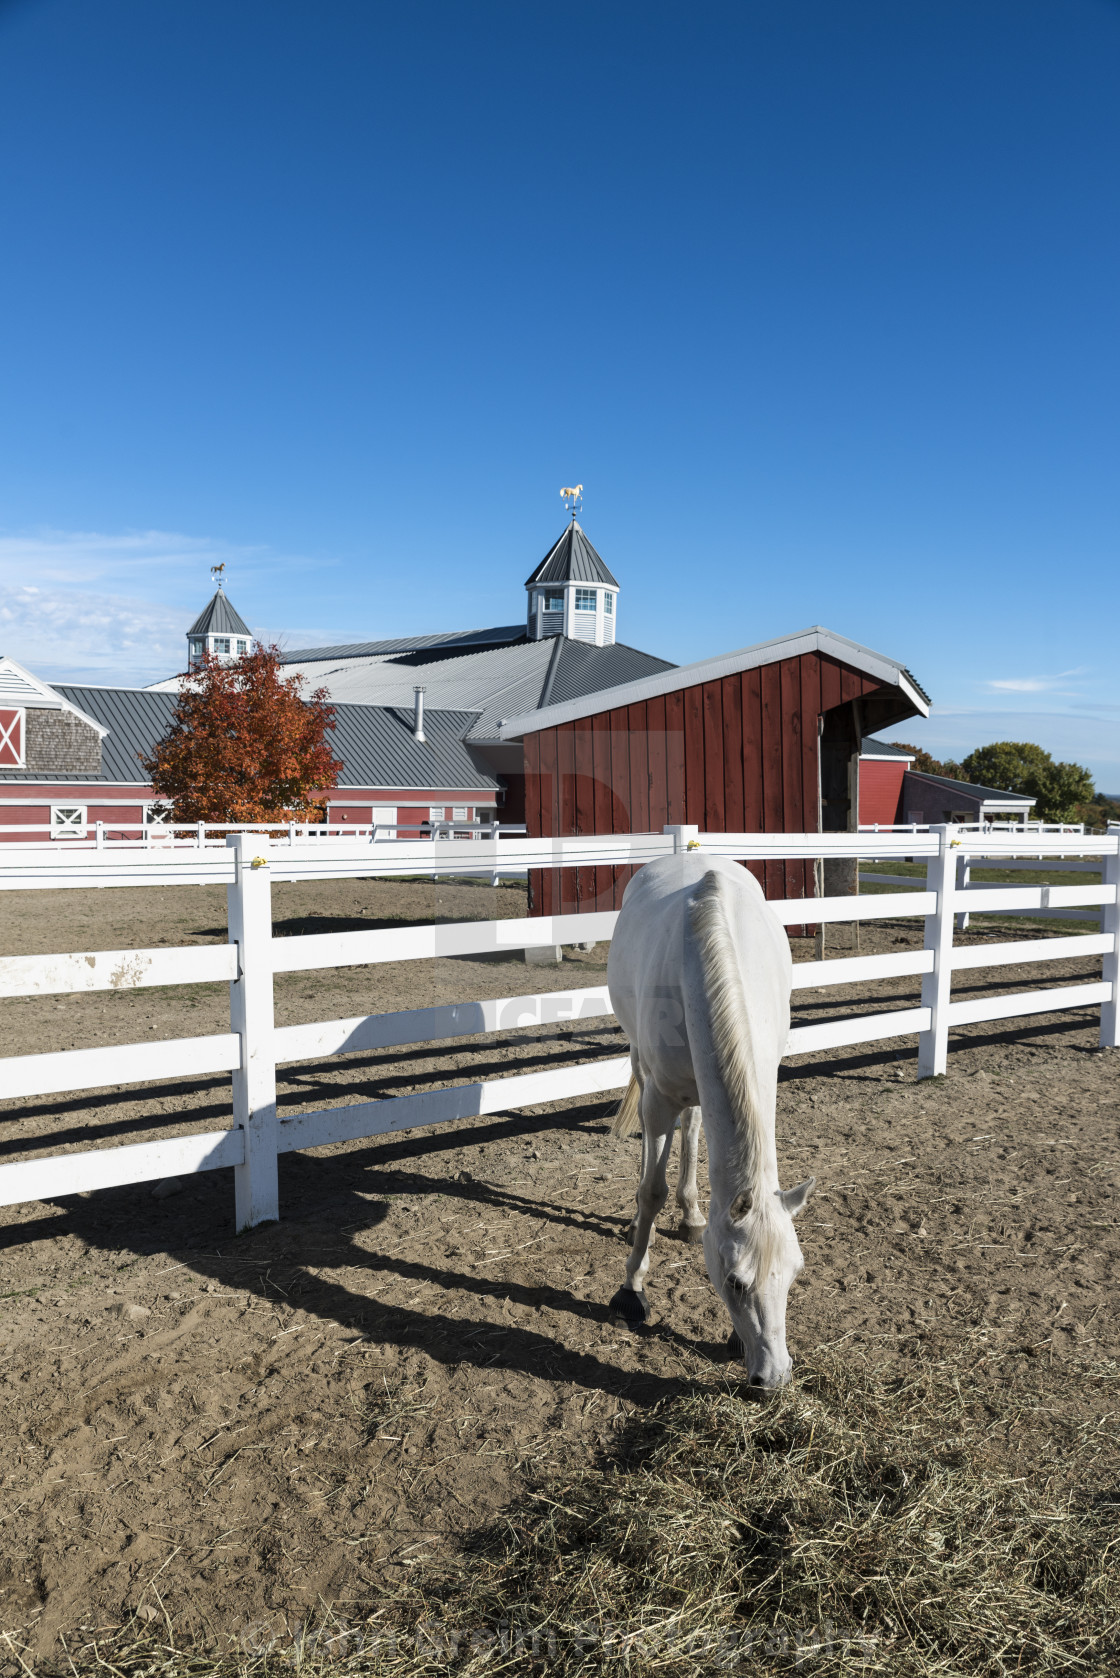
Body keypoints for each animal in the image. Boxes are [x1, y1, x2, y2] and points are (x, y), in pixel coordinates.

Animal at [604, 852, 816, 1389]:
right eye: (736, 1283)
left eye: (795, 1272)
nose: (774, 1377)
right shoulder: (659, 1098)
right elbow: (650, 1190)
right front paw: (632, 1290)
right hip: (644, 1066)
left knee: (696, 1125)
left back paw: (692, 1212)